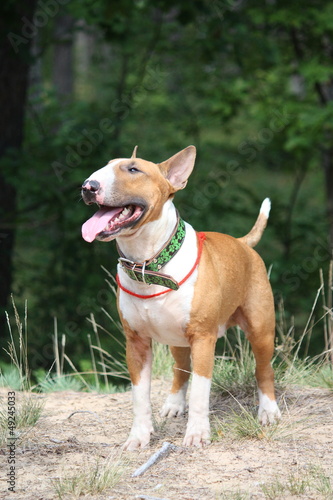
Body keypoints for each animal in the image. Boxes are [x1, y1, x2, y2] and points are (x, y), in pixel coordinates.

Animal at [80, 146, 280, 452]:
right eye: (104, 166)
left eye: (134, 169)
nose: (88, 186)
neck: (149, 266)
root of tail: (242, 243)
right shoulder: (136, 343)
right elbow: (140, 396)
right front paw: (138, 437)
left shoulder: (203, 339)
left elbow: (200, 392)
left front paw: (197, 434)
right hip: (176, 339)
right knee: (181, 369)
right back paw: (174, 404)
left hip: (260, 329)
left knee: (264, 370)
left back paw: (268, 411)